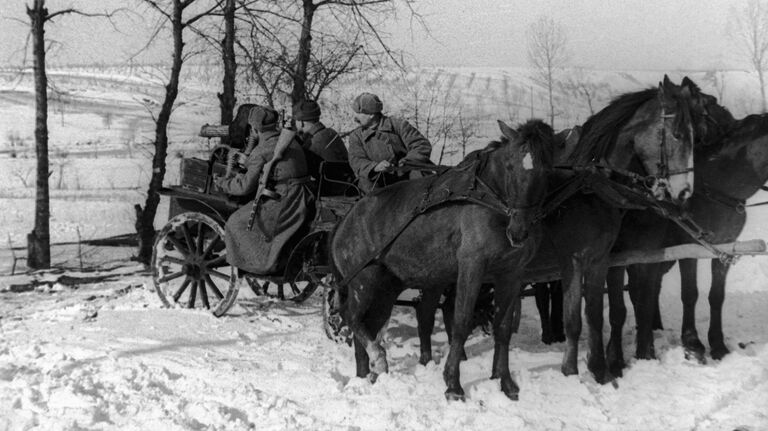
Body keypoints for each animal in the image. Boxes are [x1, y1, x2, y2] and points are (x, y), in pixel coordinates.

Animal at [328, 119, 556, 402]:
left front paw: (505, 383)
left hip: (385, 289)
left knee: (368, 323)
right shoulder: (472, 267)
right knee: (350, 316)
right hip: (363, 281)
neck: (490, 201)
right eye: (510, 166)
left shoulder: (512, 275)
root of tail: (344, 221)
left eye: (547, 171)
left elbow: (503, 328)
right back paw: (377, 357)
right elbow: (461, 322)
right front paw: (453, 385)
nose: (519, 232)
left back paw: (366, 375)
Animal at [524, 76, 700, 384]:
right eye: (677, 134)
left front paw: (602, 367)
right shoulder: (577, 260)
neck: (592, 189)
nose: (684, 193)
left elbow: (600, 312)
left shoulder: (607, 258)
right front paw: (575, 371)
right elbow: (579, 317)